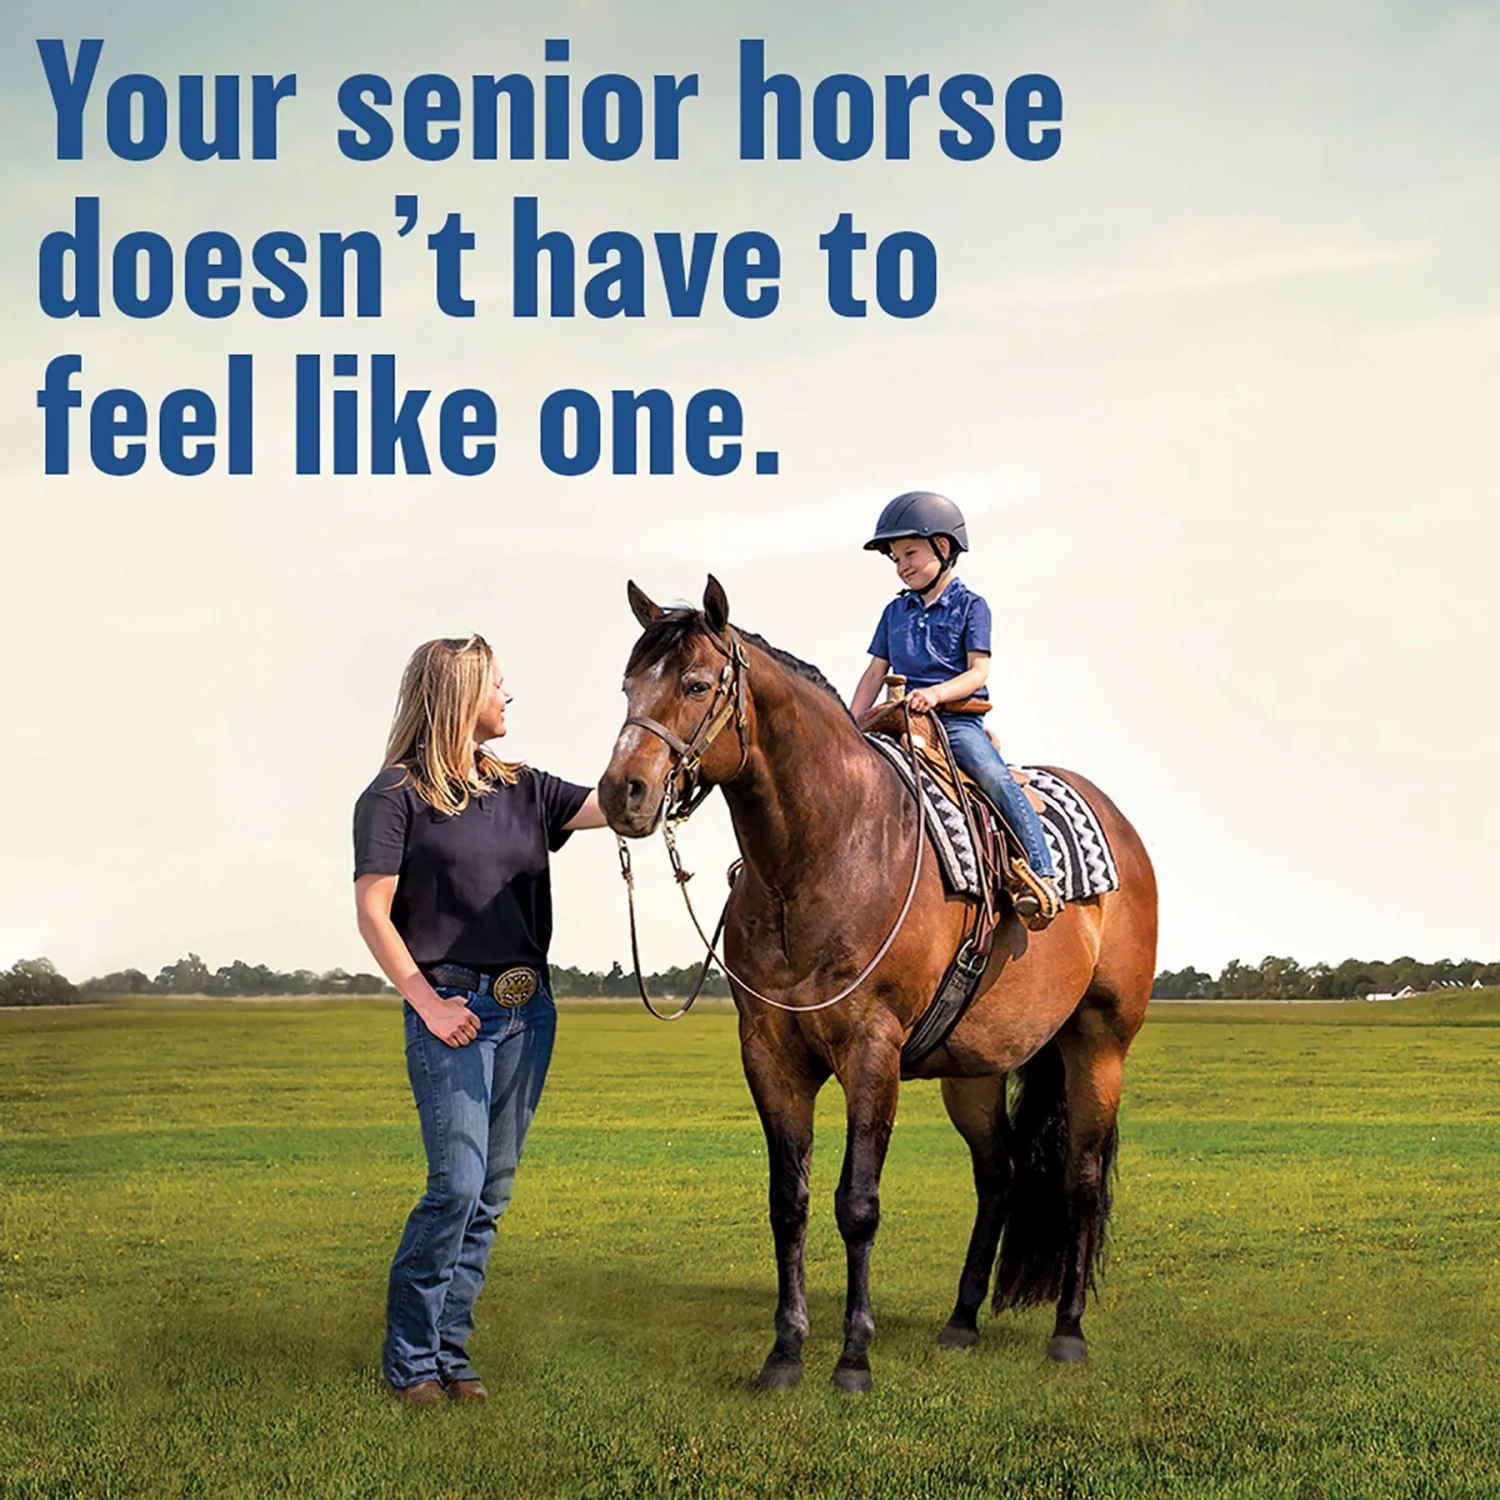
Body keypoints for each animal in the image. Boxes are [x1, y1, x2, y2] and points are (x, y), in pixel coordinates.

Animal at [600, 578, 1158, 1392]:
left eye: (697, 685)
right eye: (629, 686)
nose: (623, 792)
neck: (825, 852)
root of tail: (1121, 828)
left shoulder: (873, 1050)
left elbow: (857, 1203)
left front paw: (854, 1358)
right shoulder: (769, 1051)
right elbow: (789, 1202)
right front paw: (785, 1352)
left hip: (1099, 1043)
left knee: (1079, 1178)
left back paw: (1068, 1332)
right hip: (975, 1071)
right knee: (999, 1174)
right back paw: (961, 1322)